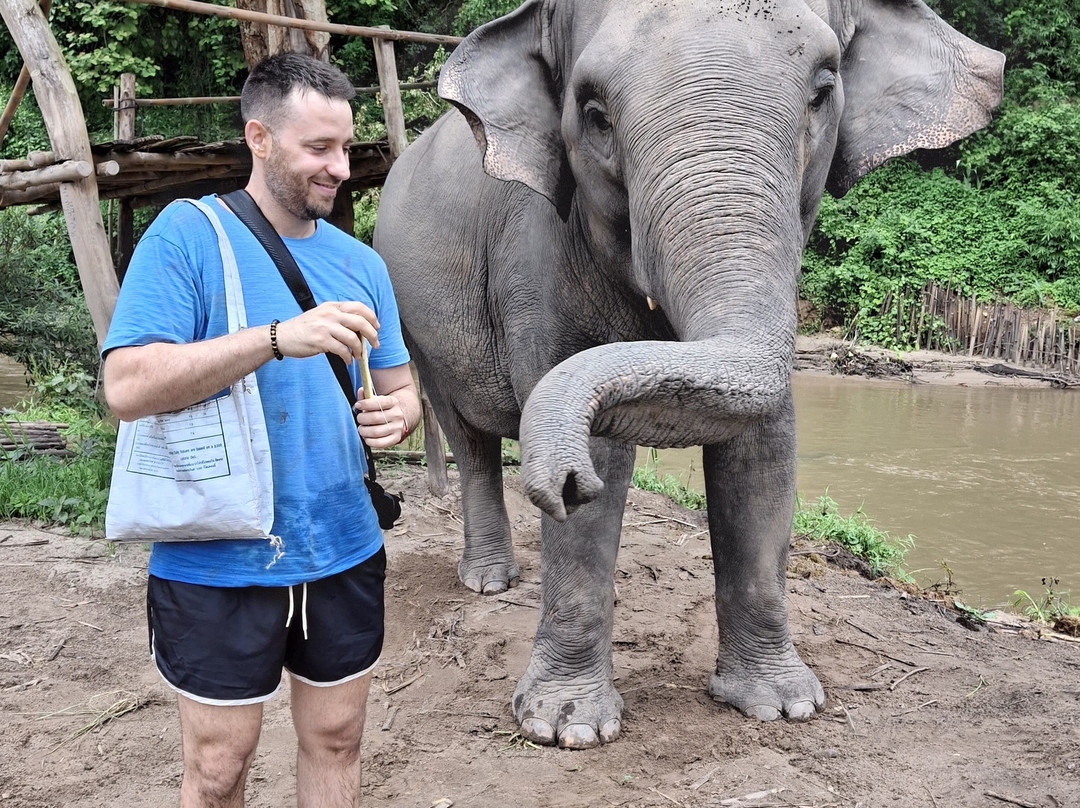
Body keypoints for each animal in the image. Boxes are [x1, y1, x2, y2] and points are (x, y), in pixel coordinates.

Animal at [373, 0, 1003, 749]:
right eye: (594, 114)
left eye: (823, 90)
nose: (558, 480)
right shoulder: (536, 253)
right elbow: (603, 460)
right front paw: (565, 729)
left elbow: (763, 447)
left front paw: (781, 705)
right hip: (411, 313)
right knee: (464, 432)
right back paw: (490, 583)